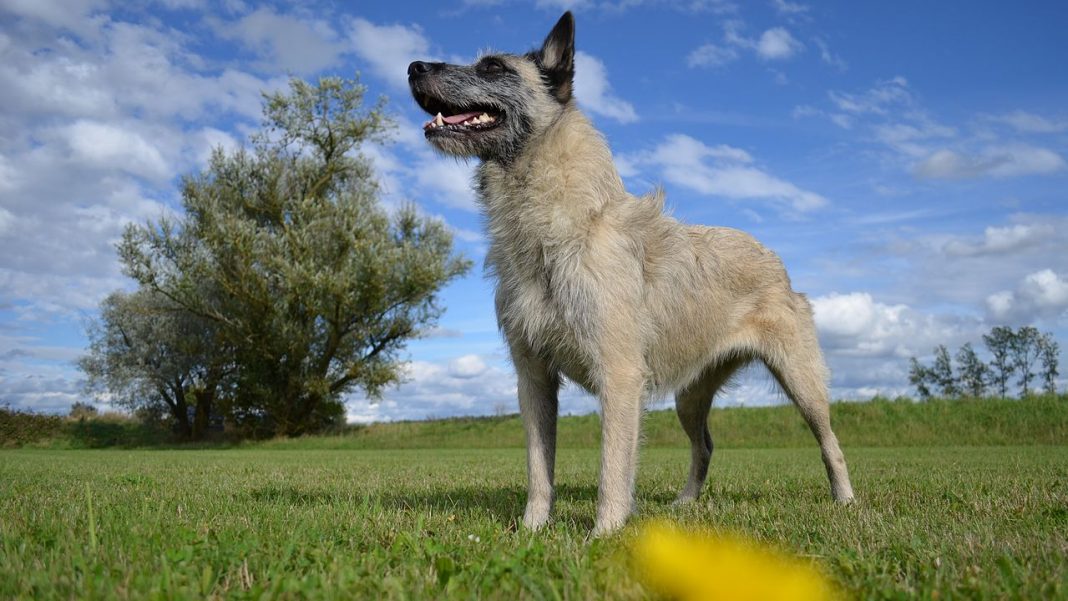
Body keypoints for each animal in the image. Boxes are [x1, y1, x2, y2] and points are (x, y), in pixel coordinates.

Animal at [403, 10, 854, 535]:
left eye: (493, 67)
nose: (412, 66)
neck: (562, 228)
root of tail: (775, 260)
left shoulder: (618, 378)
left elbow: (612, 468)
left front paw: (604, 534)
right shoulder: (533, 379)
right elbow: (539, 467)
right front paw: (533, 530)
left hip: (802, 382)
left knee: (830, 442)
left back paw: (845, 501)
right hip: (690, 397)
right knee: (704, 444)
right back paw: (685, 503)